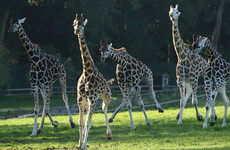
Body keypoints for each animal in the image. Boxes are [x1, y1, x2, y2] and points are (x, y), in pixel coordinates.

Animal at [73, 13, 114, 149]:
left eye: (82, 24)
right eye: (74, 23)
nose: (76, 31)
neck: (87, 72)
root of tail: (107, 83)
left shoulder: (93, 99)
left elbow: (88, 123)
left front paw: (84, 144)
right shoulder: (80, 99)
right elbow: (81, 121)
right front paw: (80, 143)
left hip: (106, 96)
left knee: (104, 108)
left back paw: (109, 134)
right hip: (87, 103)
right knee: (88, 116)